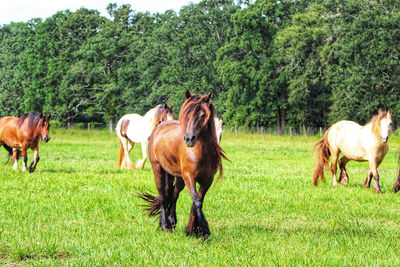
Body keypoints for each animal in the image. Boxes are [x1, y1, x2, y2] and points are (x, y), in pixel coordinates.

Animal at [138, 91, 227, 240]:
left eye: (203, 115)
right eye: (186, 114)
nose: (189, 139)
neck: (200, 152)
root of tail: (159, 127)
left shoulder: (207, 180)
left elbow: (197, 201)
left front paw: (192, 230)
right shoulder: (189, 177)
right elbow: (197, 201)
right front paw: (204, 231)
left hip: (179, 178)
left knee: (173, 194)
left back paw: (172, 221)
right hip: (159, 171)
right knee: (163, 196)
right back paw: (165, 225)